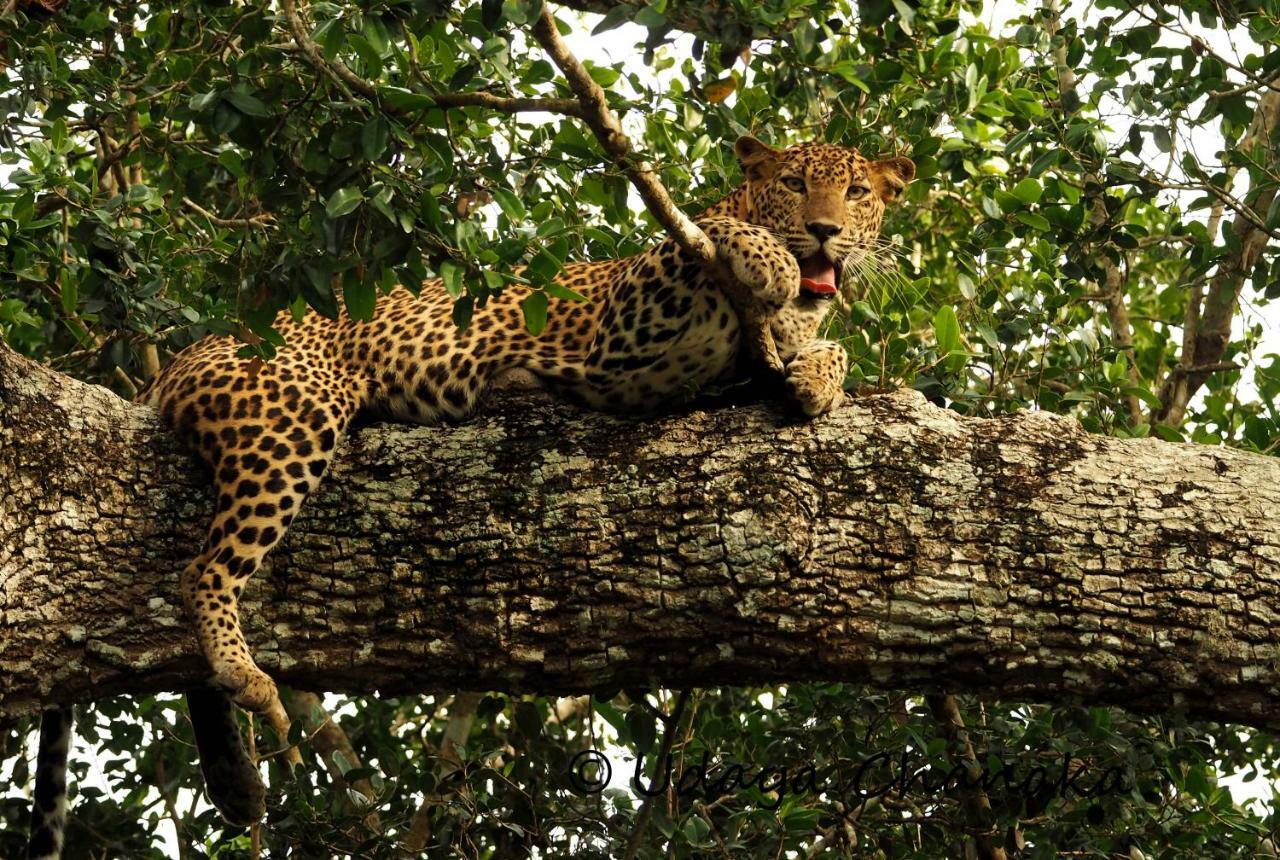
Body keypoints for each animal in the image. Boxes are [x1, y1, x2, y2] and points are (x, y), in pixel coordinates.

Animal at [27, 134, 911, 854]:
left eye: (854, 192)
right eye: (793, 185)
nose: (825, 230)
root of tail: (185, 354)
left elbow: (827, 355)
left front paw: (819, 379)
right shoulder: (623, 322)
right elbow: (704, 232)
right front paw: (771, 263)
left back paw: (238, 785)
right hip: (293, 411)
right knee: (202, 571)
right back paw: (248, 680)